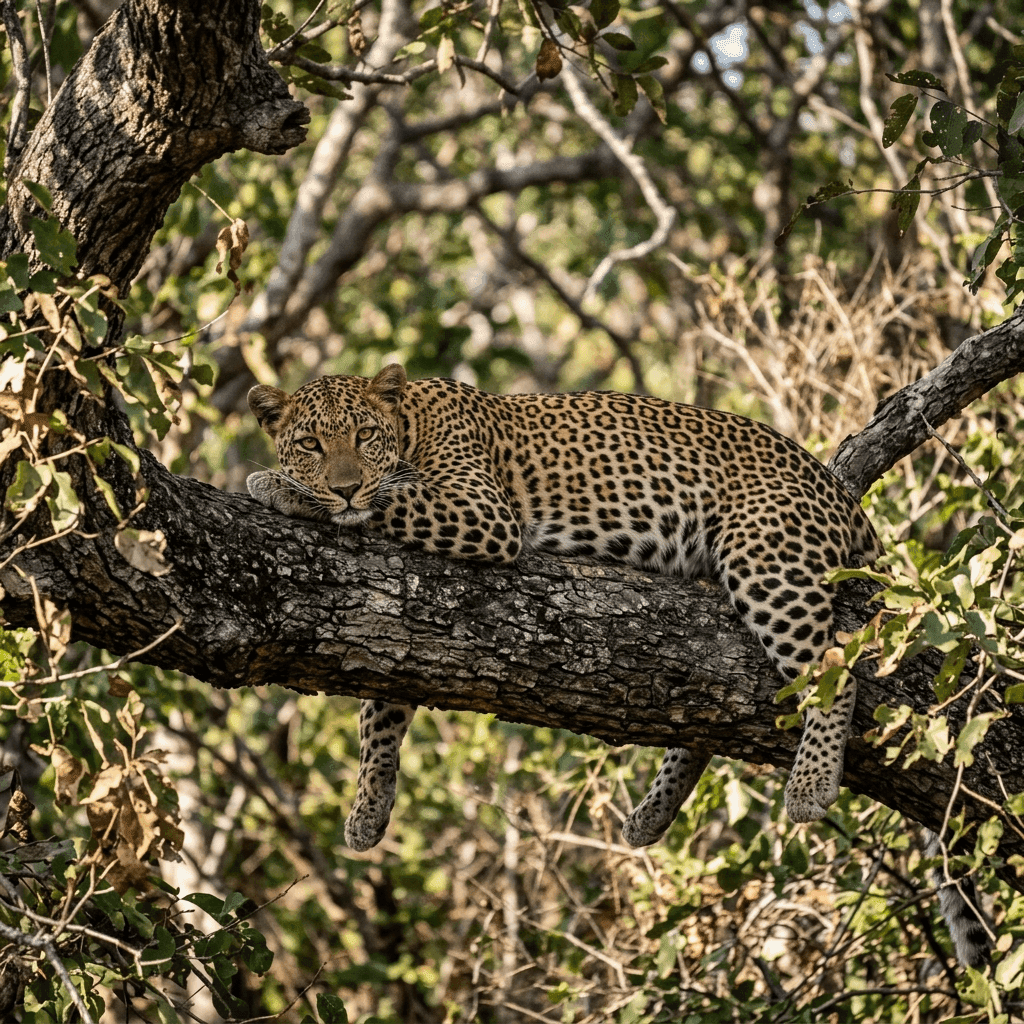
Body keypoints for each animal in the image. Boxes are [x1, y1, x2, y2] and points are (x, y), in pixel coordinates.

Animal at [246, 364, 886, 864]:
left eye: (364, 435)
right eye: (310, 445)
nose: (345, 487)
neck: (410, 427)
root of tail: (839, 493)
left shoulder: (482, 513)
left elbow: (389, 498)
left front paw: (276, 486)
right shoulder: (402, 631)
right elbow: (380, 716)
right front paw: (369, 809)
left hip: (766, 558)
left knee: (835, 666)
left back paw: (810, 784)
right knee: (704, 720)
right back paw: (650, 815)